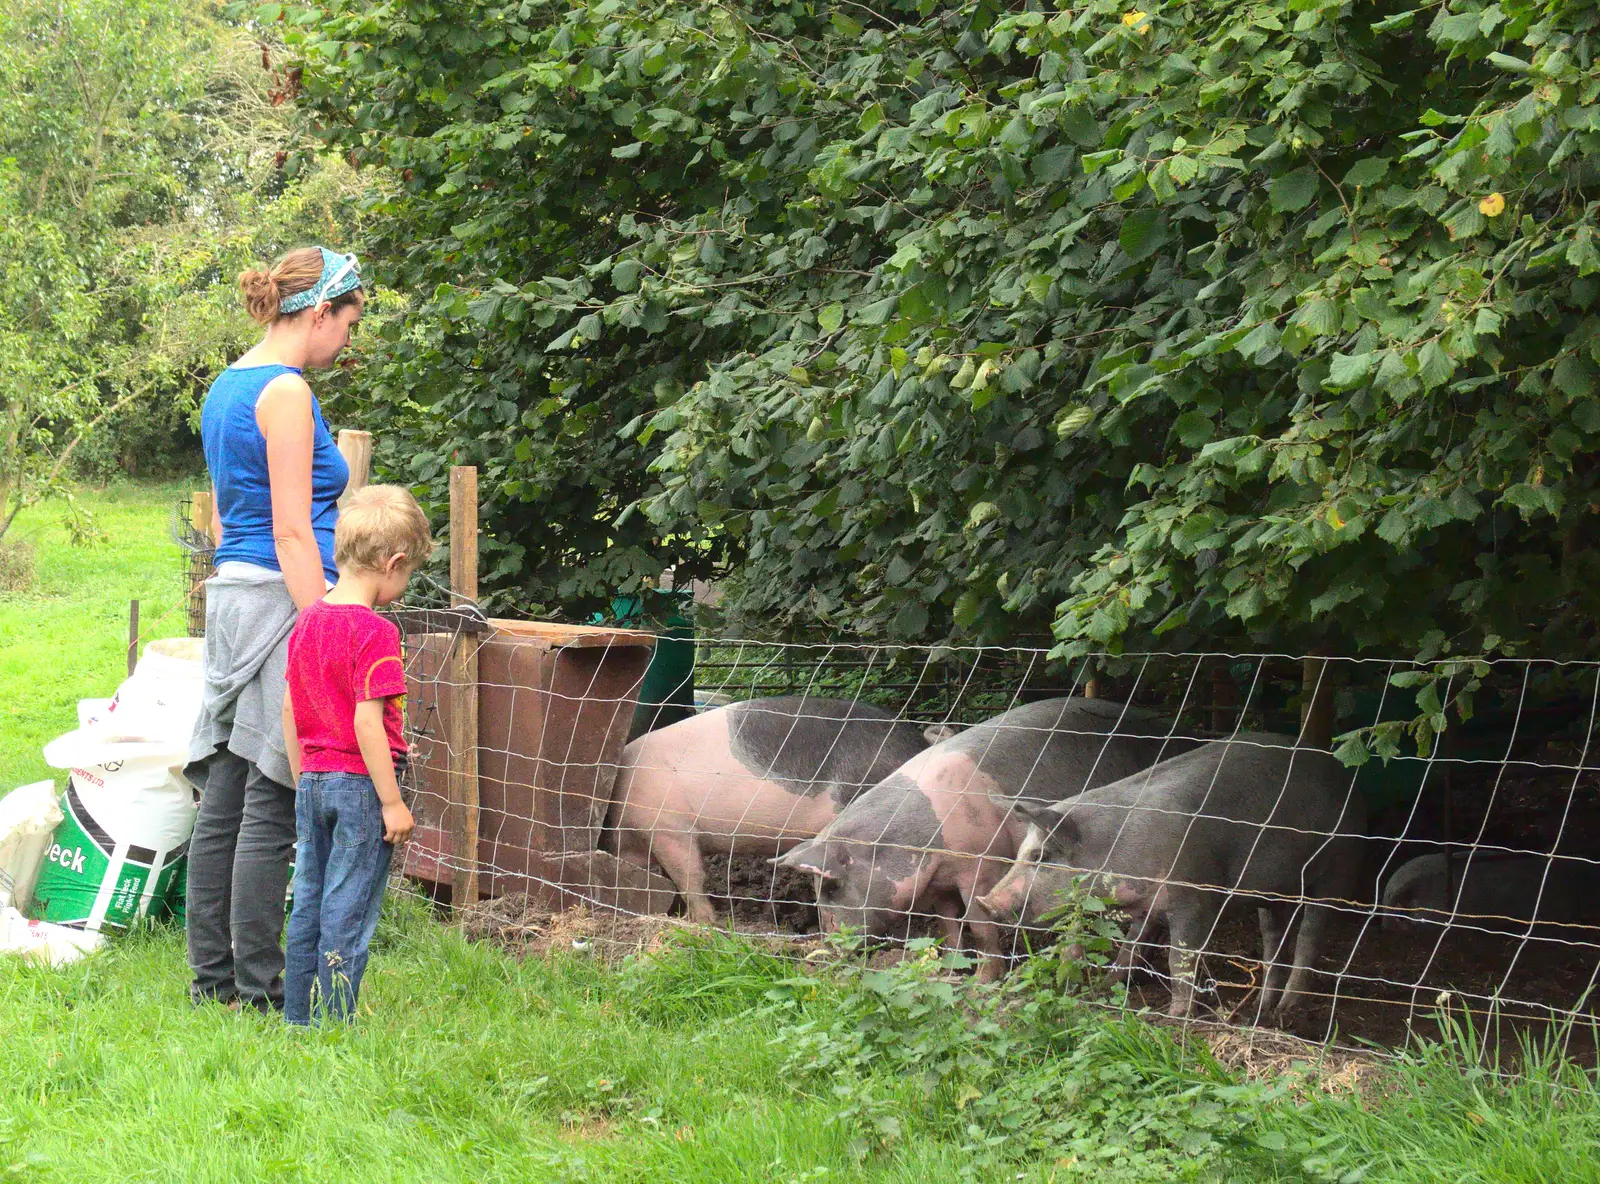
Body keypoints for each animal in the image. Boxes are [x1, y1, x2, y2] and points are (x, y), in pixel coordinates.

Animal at [768, 697, 1196, 972]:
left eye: (831, 887)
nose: (827, 949)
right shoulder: (938, 883)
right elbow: (948, 927)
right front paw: (952, 972)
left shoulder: (980, 866)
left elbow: (980, 926)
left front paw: (984, 986)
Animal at [972, 729, 1363, 1017]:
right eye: (1020, 853)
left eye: (1040, 855)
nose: (985, 901)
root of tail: (1344, 775)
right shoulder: (1145, 904)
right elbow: (1125, 945)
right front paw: (1103, 986)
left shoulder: (1194, 895)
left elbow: (1180, 959)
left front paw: (1176, 1016)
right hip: (1273, 890)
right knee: (1273, 937)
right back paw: (1264, 1008)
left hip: (1338, 864)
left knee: (1311, 933)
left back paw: (1286, 1009)